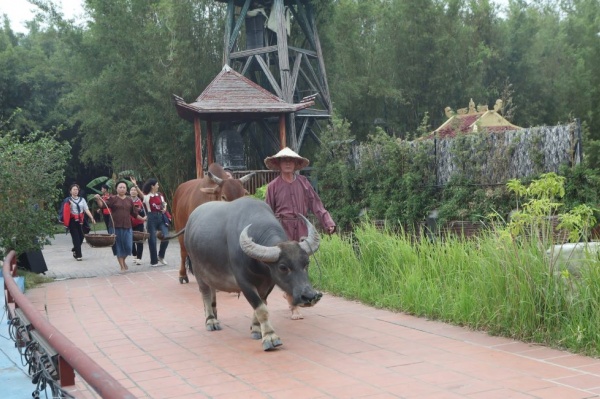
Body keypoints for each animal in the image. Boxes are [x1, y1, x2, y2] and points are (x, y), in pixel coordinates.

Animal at [184, 197, 322, 350]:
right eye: (283, 267)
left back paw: (215, 314)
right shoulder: (244, 282)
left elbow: (262, 304)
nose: (310, 296)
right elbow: (261, 308)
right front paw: (270, 337)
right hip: (198, 271)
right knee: (205, 293)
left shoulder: (268, 284)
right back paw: (211, 320)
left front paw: (256, 329)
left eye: (307, 263)